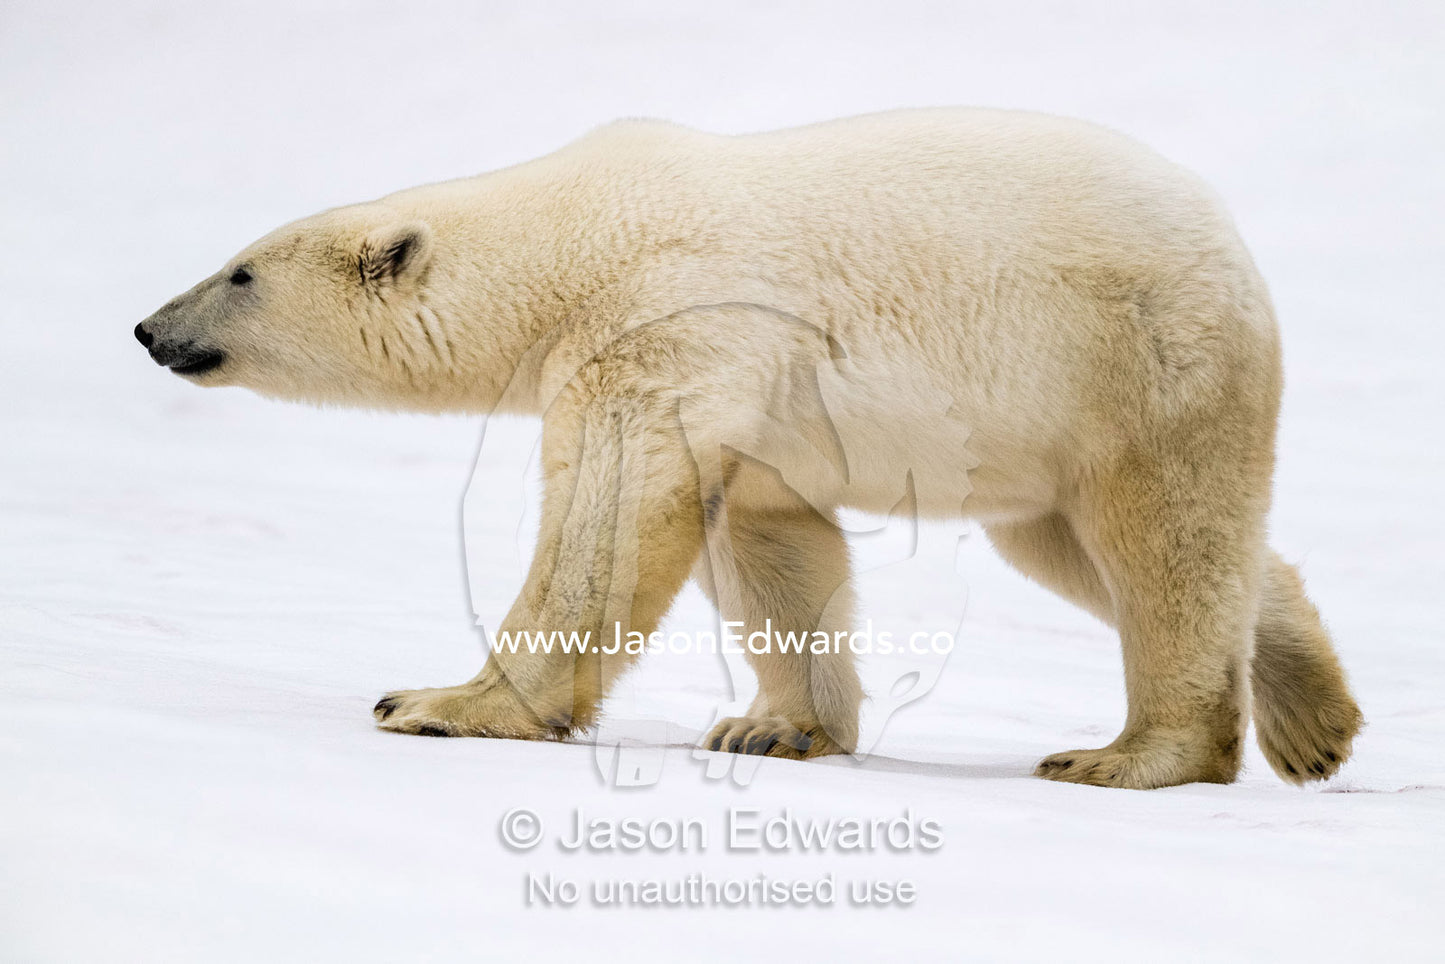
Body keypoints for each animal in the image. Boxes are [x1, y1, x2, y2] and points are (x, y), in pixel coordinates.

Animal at [135, 108, 1363, 789]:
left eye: (240, 271)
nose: (150, 327)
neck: (568, 240)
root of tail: (1232, 243)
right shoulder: (750, 408)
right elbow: (769, 541)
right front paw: (774, 729)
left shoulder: (661, 324)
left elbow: (609, 519)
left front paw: (436, 701)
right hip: (1055, 430)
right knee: (1087, 549)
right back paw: (1313, 717)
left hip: (1134, 361)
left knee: (1161, 541)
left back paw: (1126, 754)